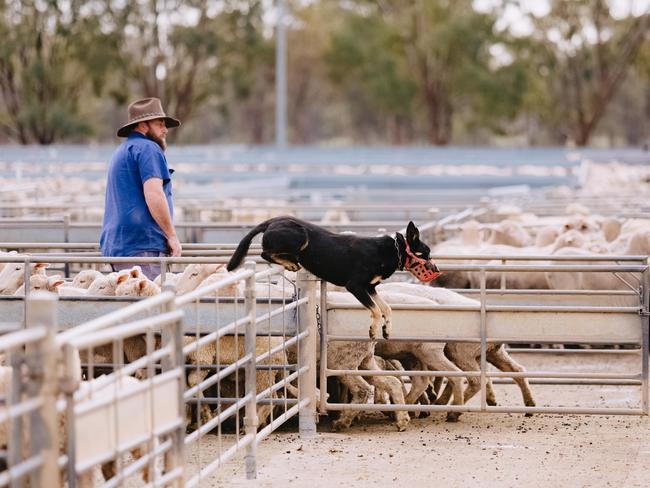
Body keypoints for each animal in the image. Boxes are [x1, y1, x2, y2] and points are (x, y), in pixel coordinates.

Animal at [225, 217, 438, 340]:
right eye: (426, 254)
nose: (437, 270)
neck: (394, 250)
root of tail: (271, 222)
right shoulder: (356, 286)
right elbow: (377, 311)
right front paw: (372, 330)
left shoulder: (370, 288)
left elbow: (387, 308)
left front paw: (387, 330)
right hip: (300, 236)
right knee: (265, 253)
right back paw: (291, 263)